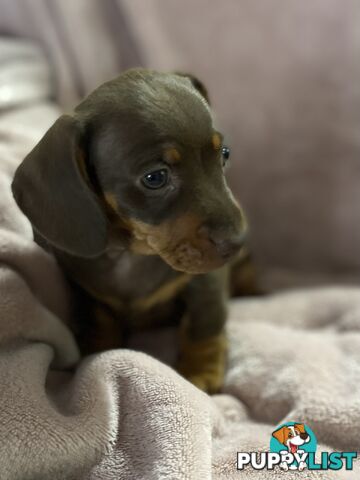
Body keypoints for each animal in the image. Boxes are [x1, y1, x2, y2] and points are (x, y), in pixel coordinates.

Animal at [10, 68, 248, 394]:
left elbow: (204, 322)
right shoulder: (82, 290)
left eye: (224, 154)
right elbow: (98, 320)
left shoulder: (205, 282)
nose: (238, 242)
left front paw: (201, 371)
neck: (131, 254)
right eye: (155, 177)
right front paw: (96, 355)